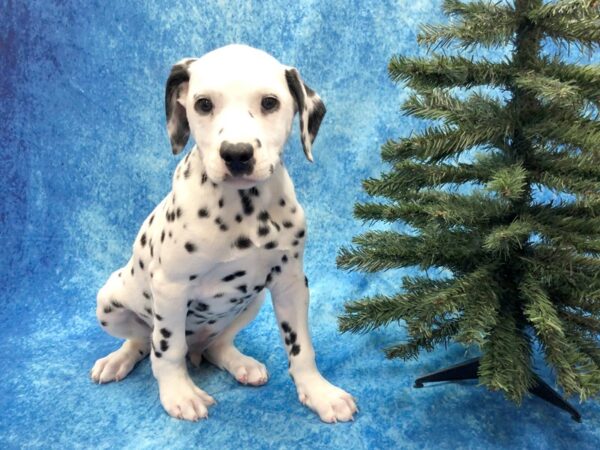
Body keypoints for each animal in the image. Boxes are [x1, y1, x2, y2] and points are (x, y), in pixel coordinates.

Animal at [90, 43, 356, 422]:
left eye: (270, 102)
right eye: (203, 104)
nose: (237, 154)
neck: (244, 210)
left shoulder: (290, 283)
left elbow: (301, 347)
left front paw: (319, 392)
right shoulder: (169, 287)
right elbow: (167, 348)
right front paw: (179, 394)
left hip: (251, 302)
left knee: (216, 344)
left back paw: (239, 363)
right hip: (110, 301)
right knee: (145, 342)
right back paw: (118, 360)